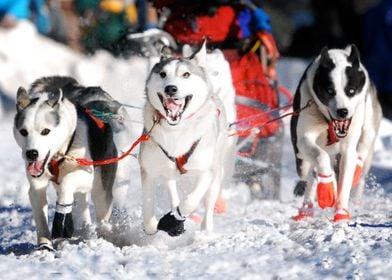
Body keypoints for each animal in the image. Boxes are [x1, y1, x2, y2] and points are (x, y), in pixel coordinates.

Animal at [14, 75, 130, 248]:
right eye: (23, 131)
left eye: (45, 131)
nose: (31, 154)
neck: (58, 155)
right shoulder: (37, 187)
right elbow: (41, 218)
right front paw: (45, 245)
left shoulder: (84, 174)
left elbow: (66, 186)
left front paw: (62, 216)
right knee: (82, 206)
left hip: (101, 188)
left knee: (101, 208)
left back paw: (105, 236)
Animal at [140, 40, 233, 235]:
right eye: (162, 74)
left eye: (186, 74)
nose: (170, 88)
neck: (176, 130)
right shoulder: (148, 169)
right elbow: (149, 206)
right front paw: (152, 226)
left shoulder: (206, 171)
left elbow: (190, 201)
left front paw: (174, 218)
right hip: (168, 170)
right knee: (172, 188)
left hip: (216, 173)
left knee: (208, 203)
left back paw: (205, 231)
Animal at [292, 45, 382, 221]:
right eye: (330, 91)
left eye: (351, 90)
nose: (343, 111)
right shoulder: (303, 139)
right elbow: (321, 158)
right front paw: (327, 188)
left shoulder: (348, 148)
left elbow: (346, 179)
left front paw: (341, 213)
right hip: (302, 162)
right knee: (310, 174)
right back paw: (307, 207)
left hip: (368, 129)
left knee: (362, 152)